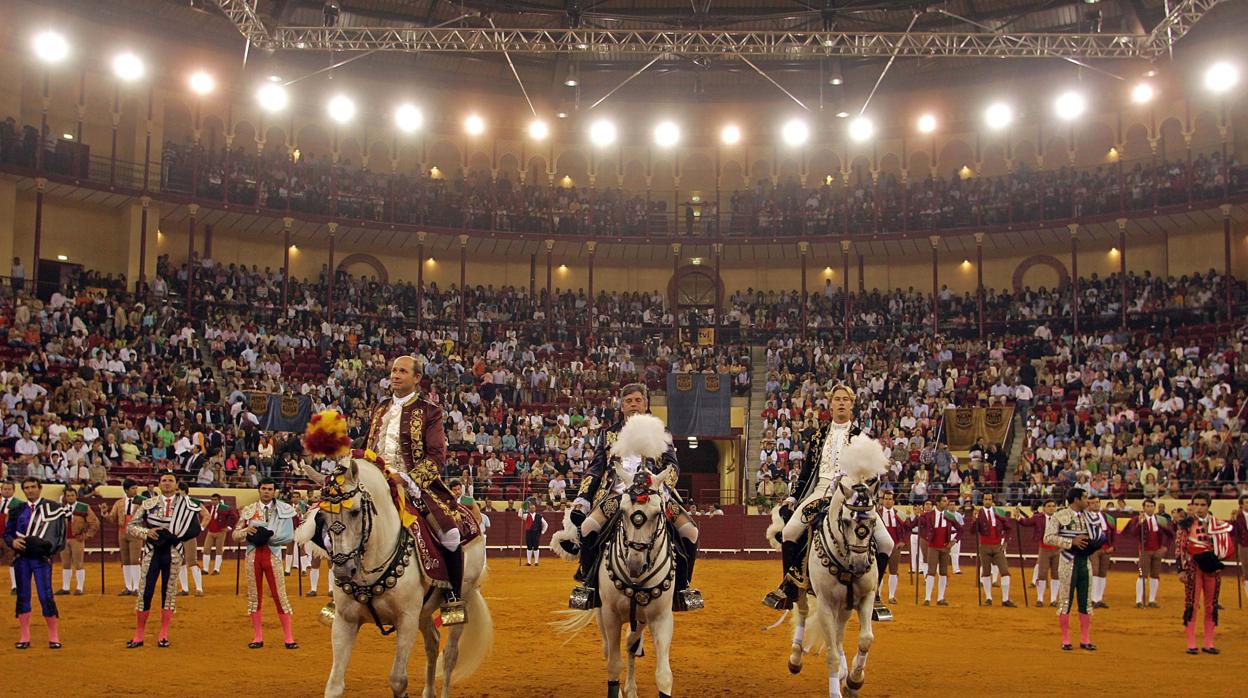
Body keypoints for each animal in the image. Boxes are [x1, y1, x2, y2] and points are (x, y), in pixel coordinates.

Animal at [299, 459, 494, 698]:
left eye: (355, 512)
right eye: (322, 516)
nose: (343, 571)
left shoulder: (406, 619)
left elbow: (398, 680)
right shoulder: (345, 620)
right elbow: (334, 684)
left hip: (462, 597)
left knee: (450, 654)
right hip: (423, 610)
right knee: (433, 641)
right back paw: (428, 692)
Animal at [551, 464, 678, 698]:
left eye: (658, 513)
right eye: (623, 512)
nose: (635, 565)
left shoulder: (662, 617)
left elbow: (664, 674)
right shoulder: (610, 614)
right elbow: (613, 663)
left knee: (631, 645)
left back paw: (631, 688)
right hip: (601, 613)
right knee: (609, 650)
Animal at [768, 434, 888, 694]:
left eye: (873, 521)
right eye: (846, 521)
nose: (860, 565)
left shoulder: (865, 596)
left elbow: (865, 639)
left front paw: (854, 679)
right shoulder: (824, 602)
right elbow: (831, 653)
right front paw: (838, 684)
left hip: (844, 604)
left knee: (840, 633)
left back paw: (844, 672)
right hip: (801, 585)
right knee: (803, 612)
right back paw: (795, 658)